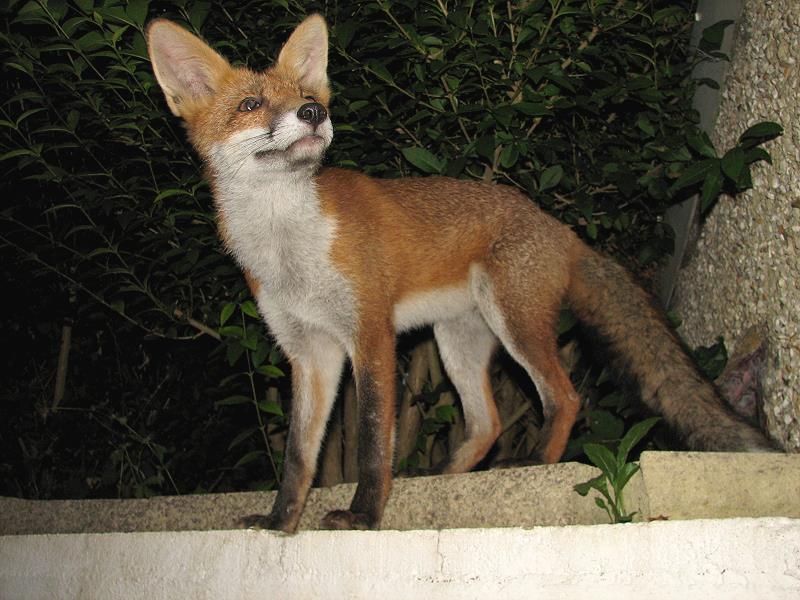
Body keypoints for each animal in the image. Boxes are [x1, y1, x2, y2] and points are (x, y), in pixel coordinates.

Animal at [146, 14, 776, 533]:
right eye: (251, 104)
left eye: (304, 96)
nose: (314, 113)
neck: (288, 248)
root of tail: (560, 227)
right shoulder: (310, 353)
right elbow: (299, 456)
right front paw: (281, 522)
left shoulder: (370, 335)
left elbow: (373, 440)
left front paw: (364, 515)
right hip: (459, 342)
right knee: (486, 423)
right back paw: (446, 477)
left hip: (513, 322)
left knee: (564, 396)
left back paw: (534, 464)